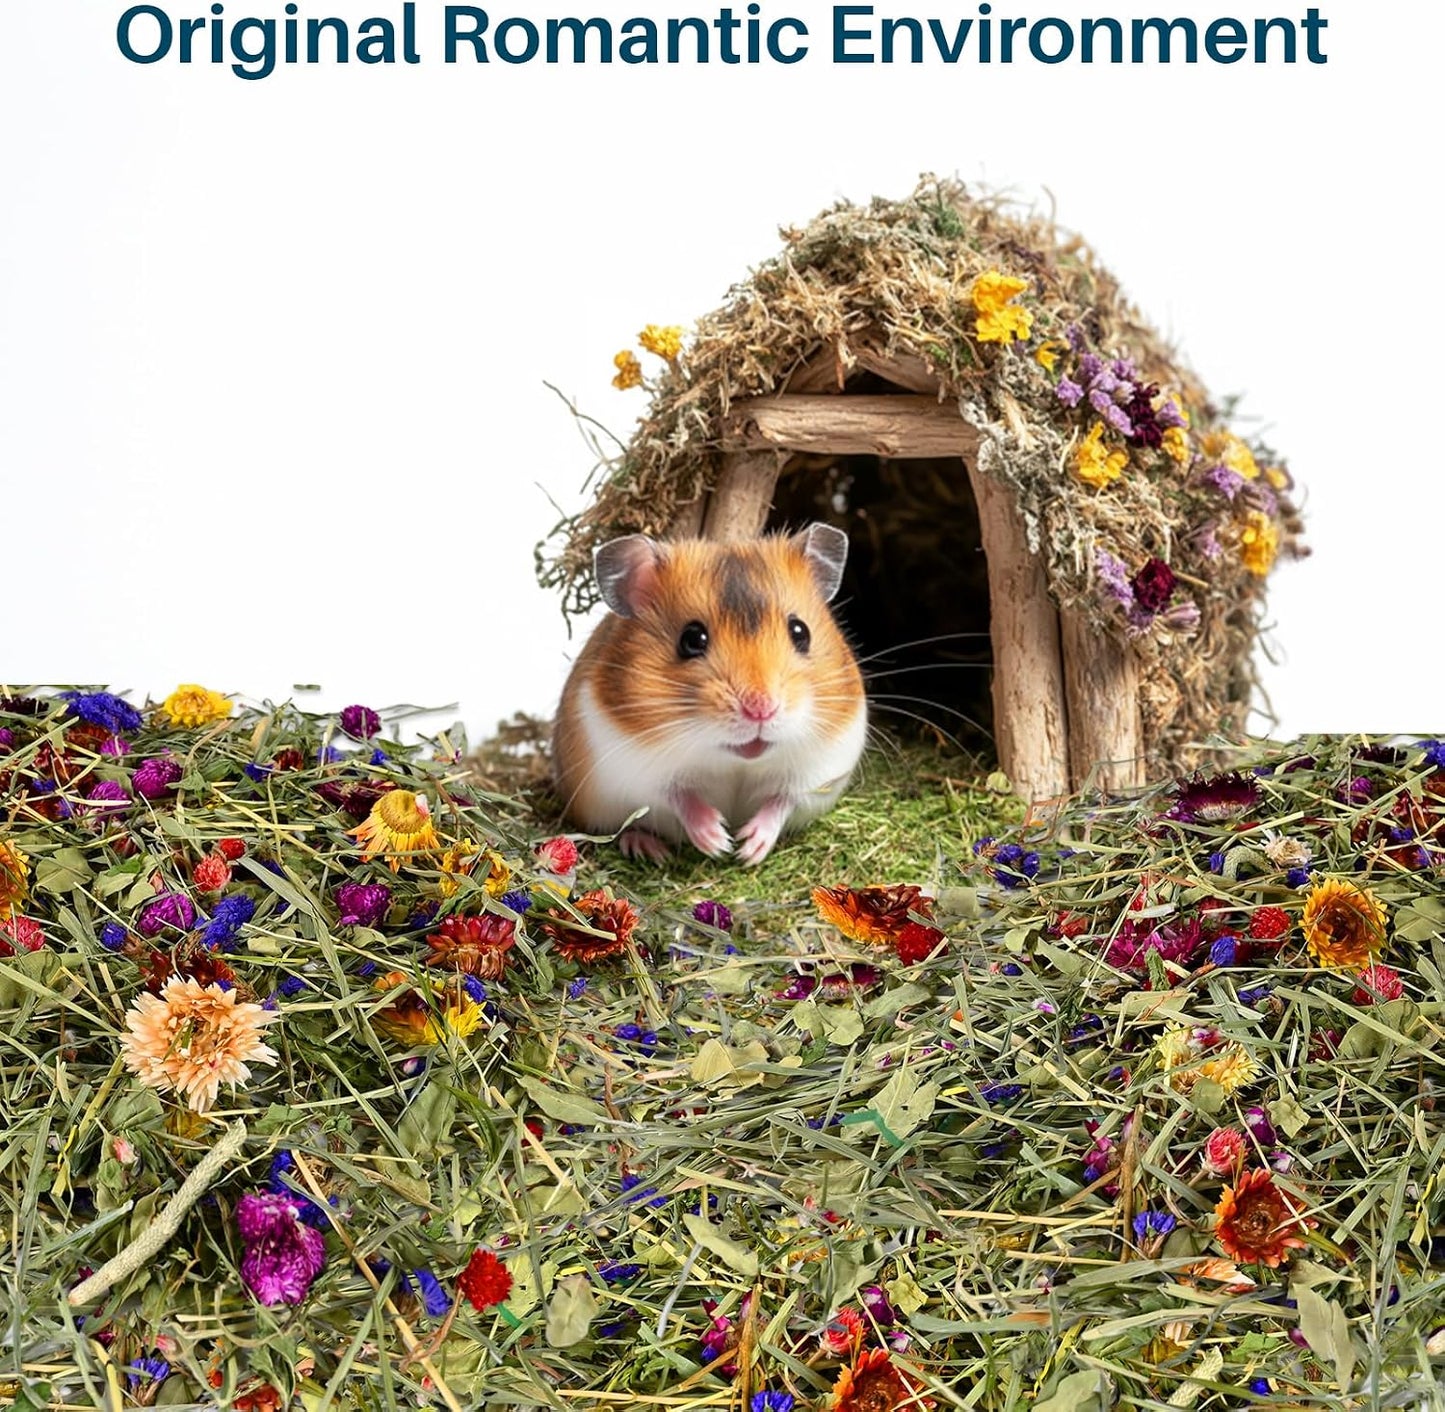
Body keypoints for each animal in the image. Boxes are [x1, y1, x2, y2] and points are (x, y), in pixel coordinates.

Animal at [552, 524, 868, 865]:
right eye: (692, 639)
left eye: (801, 632)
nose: (761, 709)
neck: (734, 760)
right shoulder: (634, 768)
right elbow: (679, 796)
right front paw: (719, 841)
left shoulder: (819, 771)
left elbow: (781, 800)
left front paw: (747, 849)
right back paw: (649, 848)